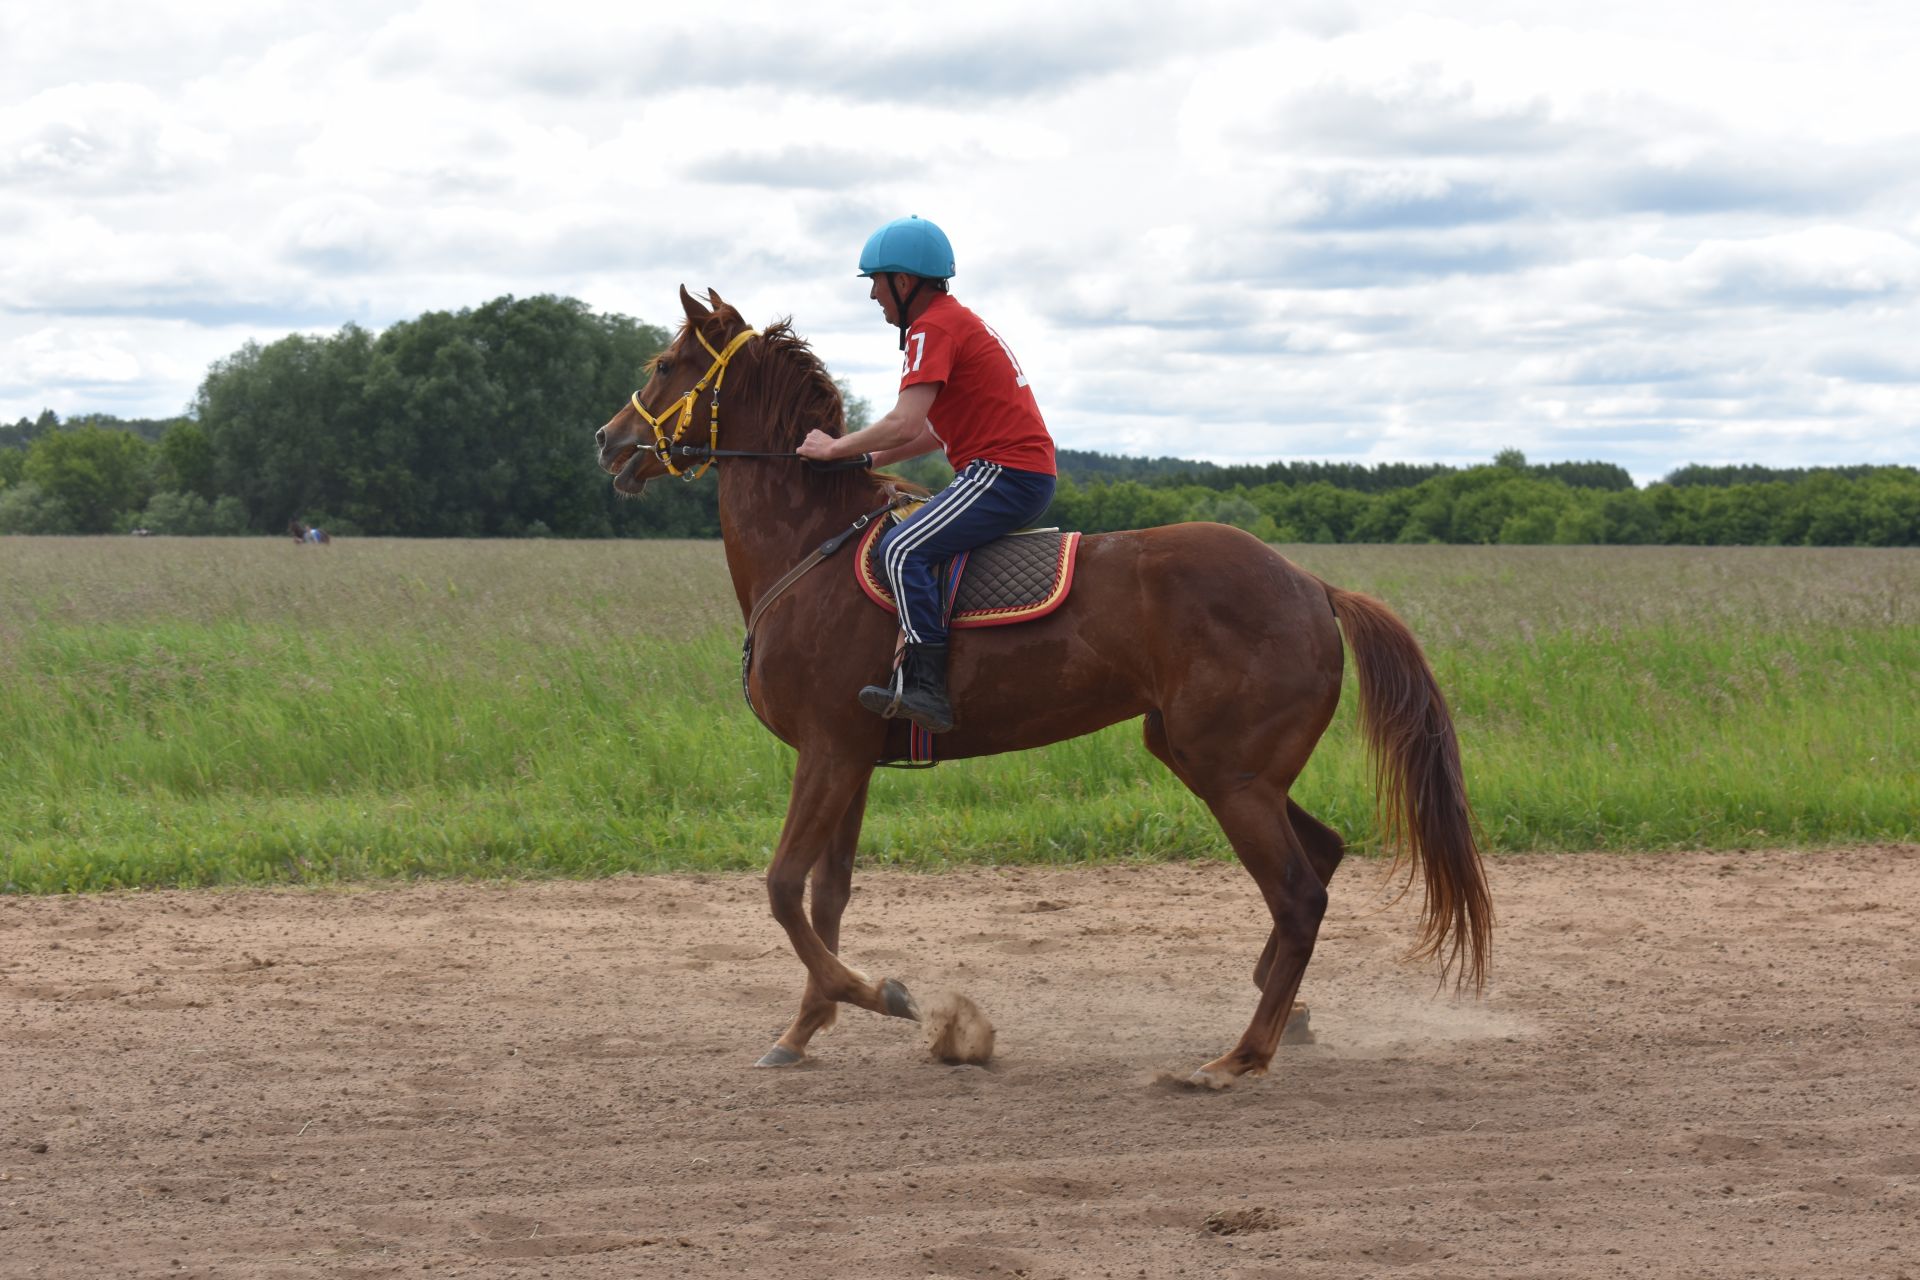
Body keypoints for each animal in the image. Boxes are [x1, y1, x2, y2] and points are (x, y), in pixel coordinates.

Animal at [591, 289, 1489, 1090]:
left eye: (666, 364)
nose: (607, 440)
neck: (810, 546)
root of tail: (1311, 585)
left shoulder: (828, 752)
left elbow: (783, 890)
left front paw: (887, 999)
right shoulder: (848, 757)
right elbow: (826, 896)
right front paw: (805, 1028)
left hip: (1231, 775)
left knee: (1300, 895)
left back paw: (1238, 1057)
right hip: (1215, 763)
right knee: (1322, 856)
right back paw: (1282, 1006)